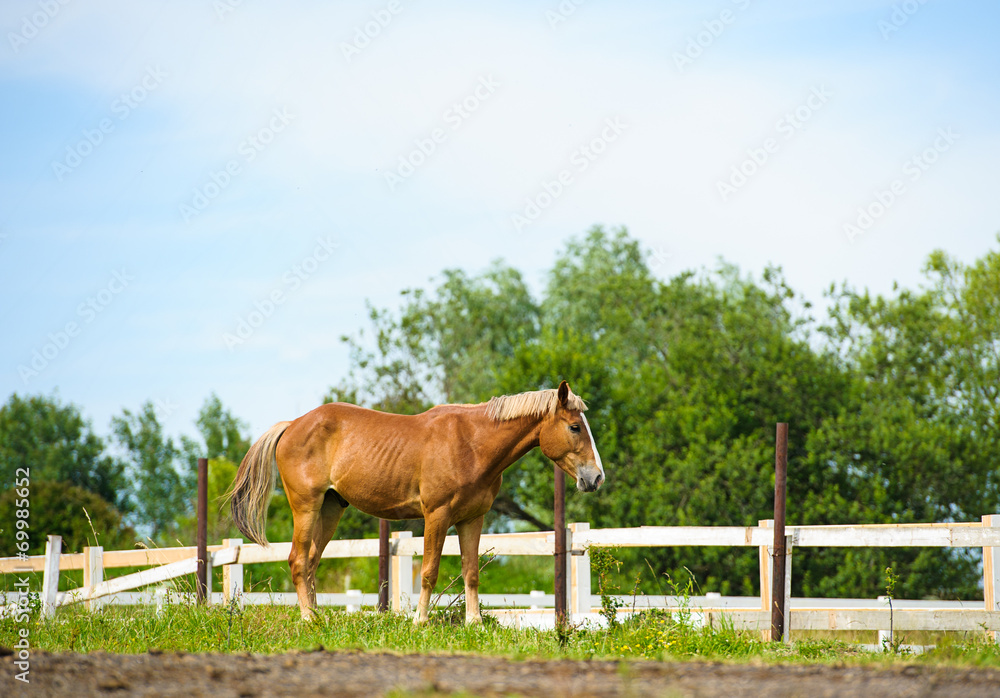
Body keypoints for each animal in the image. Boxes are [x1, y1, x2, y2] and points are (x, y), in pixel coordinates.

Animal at [228, 380, 605, 624]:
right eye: (574, 427)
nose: (596, 478)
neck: (472, 443)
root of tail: (292, 425)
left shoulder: (472, 519)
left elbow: (471, 572)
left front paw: (474, 623)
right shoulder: (436, 516)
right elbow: (428, 571)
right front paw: (420, 621)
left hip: (331, 509)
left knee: (310, 563)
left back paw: (319, 617)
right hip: (306, 507)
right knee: (296, 560)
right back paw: (308, 619)